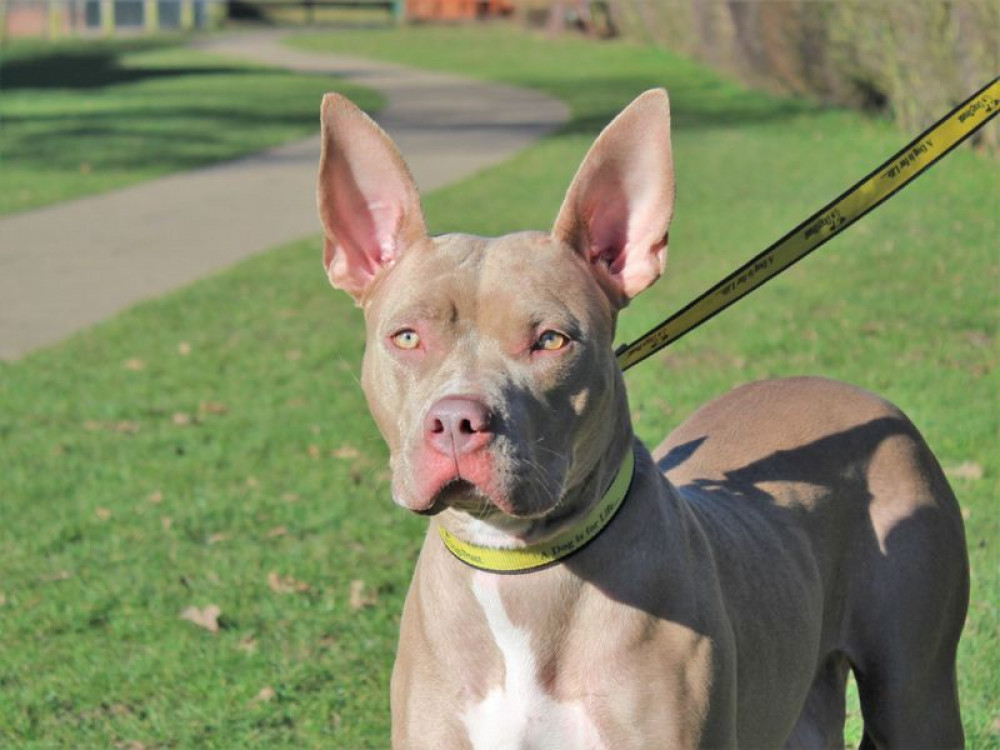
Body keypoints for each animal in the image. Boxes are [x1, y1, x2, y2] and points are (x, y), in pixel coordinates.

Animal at [314, 89, 968, 750]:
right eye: (406, 337)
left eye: (551, 341)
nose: (455, 421)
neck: (520, 569)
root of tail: (851, 392)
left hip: (917, 696)